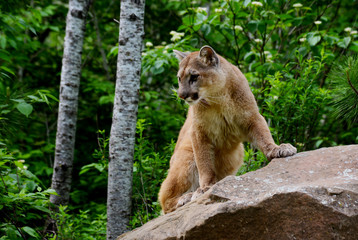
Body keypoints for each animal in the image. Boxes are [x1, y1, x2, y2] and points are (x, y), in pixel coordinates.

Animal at [159, 45, 296, 214]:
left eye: (194, 76)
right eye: (179, 78)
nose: (181, 95)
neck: (218, 97)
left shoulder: (252, 117)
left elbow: (264, 136)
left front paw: (277, 149)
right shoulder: (198, 132)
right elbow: (204, 163)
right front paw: (205, 188)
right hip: (186, 156)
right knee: (165, 202)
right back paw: (185, 197)